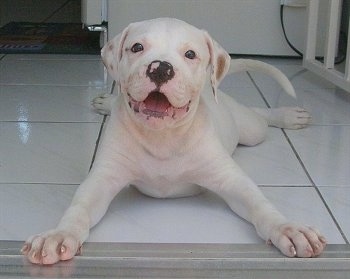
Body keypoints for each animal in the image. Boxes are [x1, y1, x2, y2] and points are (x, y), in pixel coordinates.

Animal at [22, 17, 326, 264]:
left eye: (190, 54)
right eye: (137, 47)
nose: (160, 69)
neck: (163, 137)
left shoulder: (231, 179)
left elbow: (260, 204)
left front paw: (288, 229)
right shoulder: (102, 179)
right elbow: (79, 208)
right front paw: (58, 236)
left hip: (251, 131)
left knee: (259, 115)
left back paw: (288, 115)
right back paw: (107, 102)